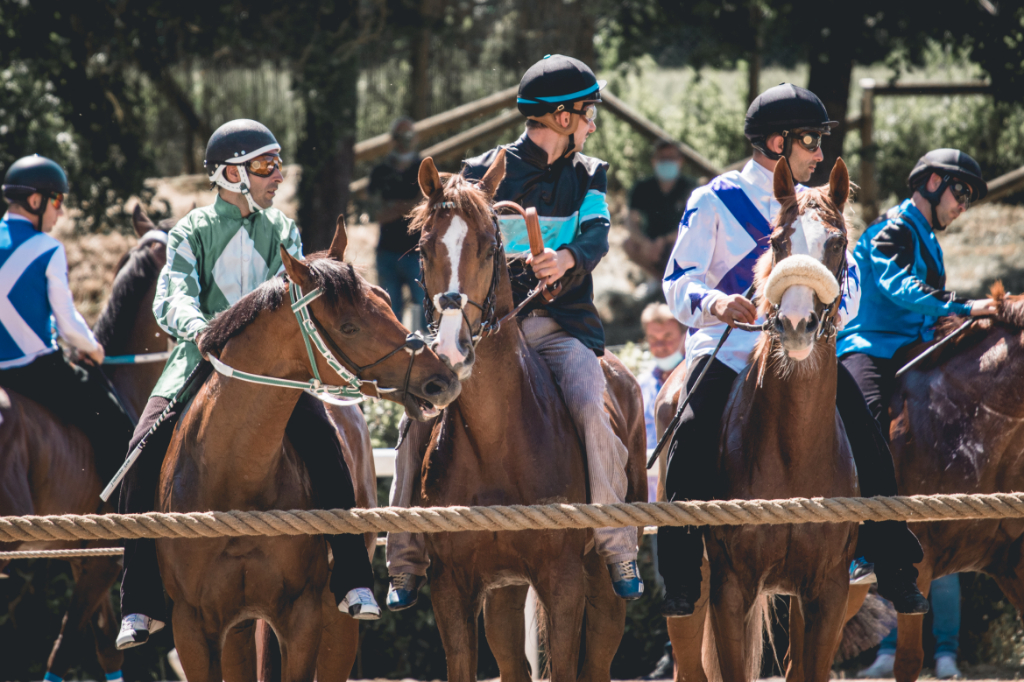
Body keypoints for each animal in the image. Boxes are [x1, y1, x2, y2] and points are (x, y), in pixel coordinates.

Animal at [155, 219, 460, 679]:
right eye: (349, 326)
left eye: (387, 300)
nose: (441, 379)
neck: (234, 477)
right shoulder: (192, 626)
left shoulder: (303, 617)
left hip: (337, 623)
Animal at [407, 152, 647, 679]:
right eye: (424, 248)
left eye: (488, 246)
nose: (451, 350)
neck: (497, 441)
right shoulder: (451, 586)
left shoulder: (563, 581)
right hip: (505, 590)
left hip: (602, 585)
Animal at [696, 157, 856, 679]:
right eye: (779, 241)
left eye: (836, 242)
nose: (796, 324)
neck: (792, 454)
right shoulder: (729, 589)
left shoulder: (827, 591)